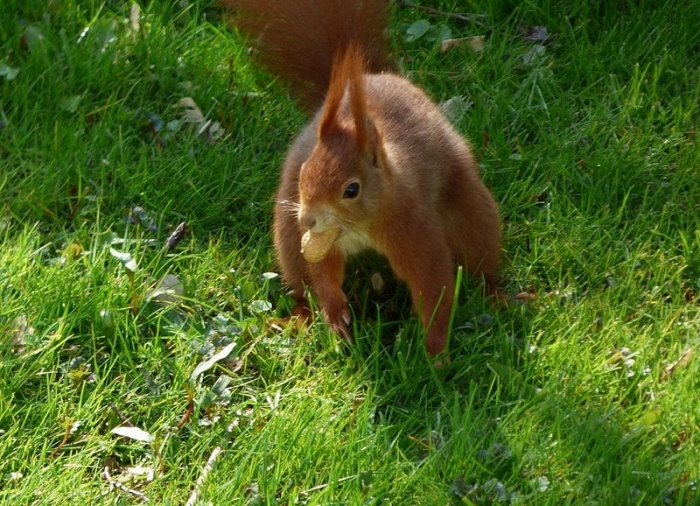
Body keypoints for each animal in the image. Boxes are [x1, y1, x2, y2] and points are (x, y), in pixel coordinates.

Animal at [225, 0, 502, 357]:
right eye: (304, 171)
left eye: (352, 189)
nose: (308, 219)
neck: (356, 227)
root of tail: (373, 76)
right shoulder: (319, 241)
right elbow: (324, 273)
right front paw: (335, 315)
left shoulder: (411, 225)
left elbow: (433, 281)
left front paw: (435, 352)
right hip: (287, 239)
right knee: (301, 282)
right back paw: (301, 316)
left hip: (470, 207)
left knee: (480, 255)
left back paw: (498, 294)